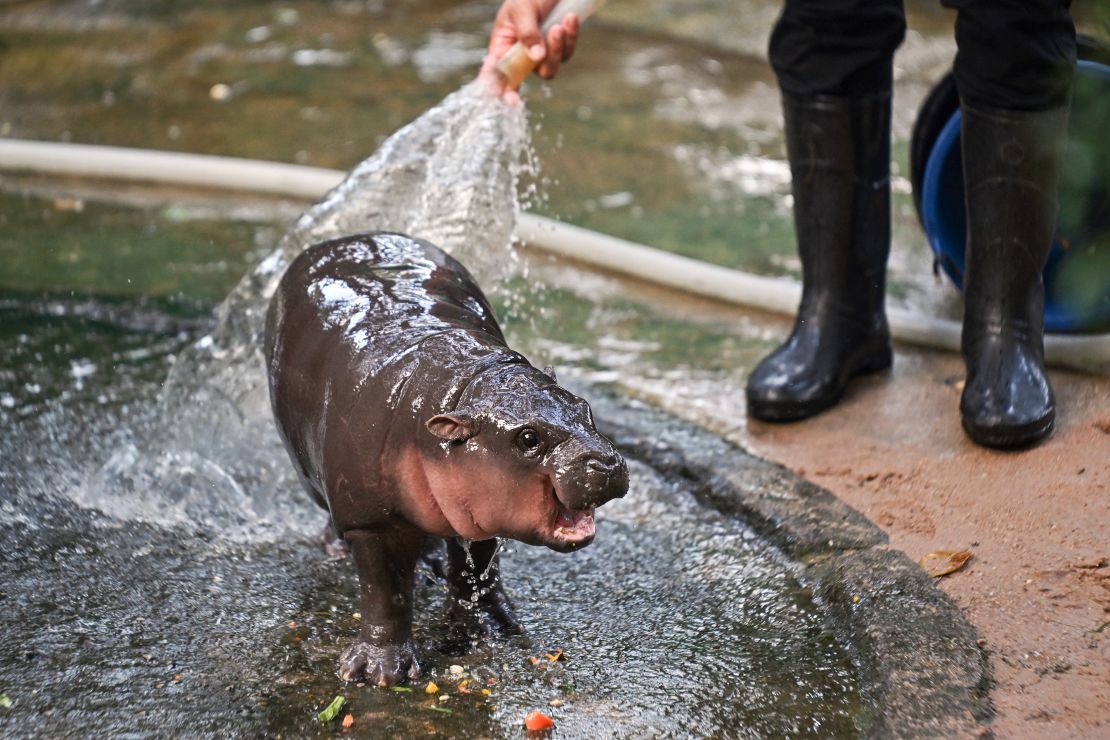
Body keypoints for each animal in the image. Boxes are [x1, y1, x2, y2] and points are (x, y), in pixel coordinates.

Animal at [260, 232, 626, 687]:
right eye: (528, 438)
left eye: (584, 407)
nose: (607, 463)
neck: (462, 387)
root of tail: (346, 239)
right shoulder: (371, 521)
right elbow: (386, 591)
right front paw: (379, 673)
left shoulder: (482, 505)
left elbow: (478, 568)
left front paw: (493, 629)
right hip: (318, 478)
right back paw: (338, 549)